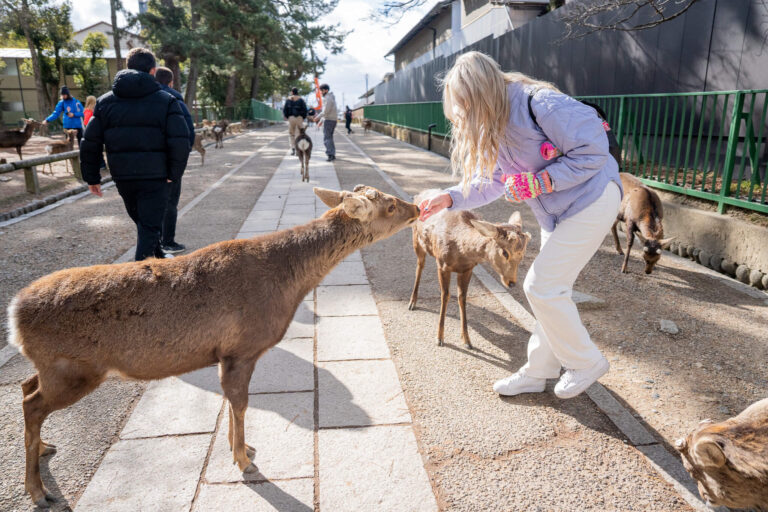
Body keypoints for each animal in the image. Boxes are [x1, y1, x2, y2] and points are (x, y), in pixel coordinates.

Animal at [9, 184, 420, 508]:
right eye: (390, 207)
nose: (416, 207)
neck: (289, 283)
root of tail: (14, 314)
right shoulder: (243, 347)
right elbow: (240, 402)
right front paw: (244, 460)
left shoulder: (226, 354)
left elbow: (231, 402)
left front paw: (242, 449)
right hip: (75, 369)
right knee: (33, 403)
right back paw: (38, 492)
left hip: (53, 367)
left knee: (26, 386)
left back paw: (44, 448)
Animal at [412, 190, 532, 350]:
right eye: (505, 252)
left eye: (523, 255)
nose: (511, 282)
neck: (462, 252)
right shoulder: (442, 264)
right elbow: (445, 296)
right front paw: (439, 338)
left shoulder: (467, 269)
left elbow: (462, 297)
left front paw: (467, 340)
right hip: (416, 239)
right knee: (420, 266)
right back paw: (412, 302)